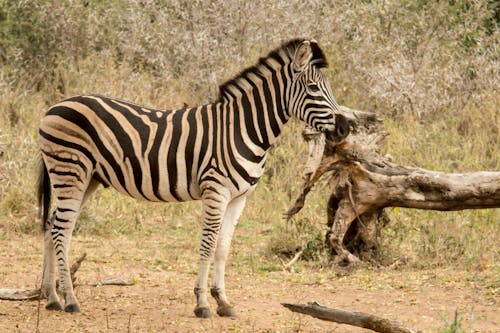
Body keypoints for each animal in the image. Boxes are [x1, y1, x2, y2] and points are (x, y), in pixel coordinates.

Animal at [37, 39, 350, 316]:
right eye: (313, 88)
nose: (346, 128)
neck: (243, 129)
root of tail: (56, 105)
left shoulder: (239, 197)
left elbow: (223, 248)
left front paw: (223, 302)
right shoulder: (216, 191)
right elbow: (208, 245)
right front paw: (202, 304)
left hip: (87, 178)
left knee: (53, 224)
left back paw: (52, 298)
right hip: (71, 171)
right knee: (62, 229)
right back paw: (71, 300)